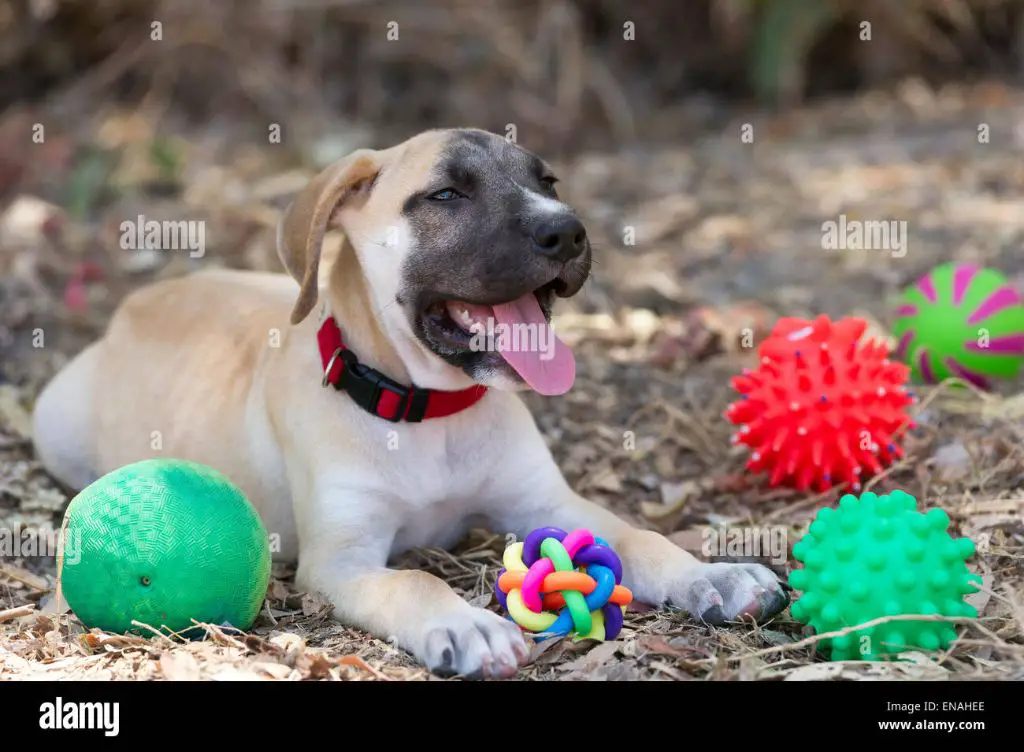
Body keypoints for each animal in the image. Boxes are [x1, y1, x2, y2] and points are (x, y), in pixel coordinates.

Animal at [32, 131, 782, 684]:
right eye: (445, 195)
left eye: (549, 183)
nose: (567, 233)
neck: (428, 411)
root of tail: (137, 300)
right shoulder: (341, 562)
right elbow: (413, 583)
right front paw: (468, 624)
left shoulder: (549, 504)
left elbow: (637, 537)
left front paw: (712, 575)